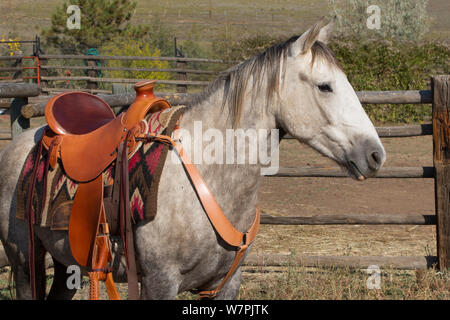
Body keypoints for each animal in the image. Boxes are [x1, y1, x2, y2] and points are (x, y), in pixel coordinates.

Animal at [0, 20, 386, 300]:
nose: (375, 154)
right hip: (25, 261)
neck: (209, 175)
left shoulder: (226, 284)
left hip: (68, 264)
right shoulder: (160, 282)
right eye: (325, 86)